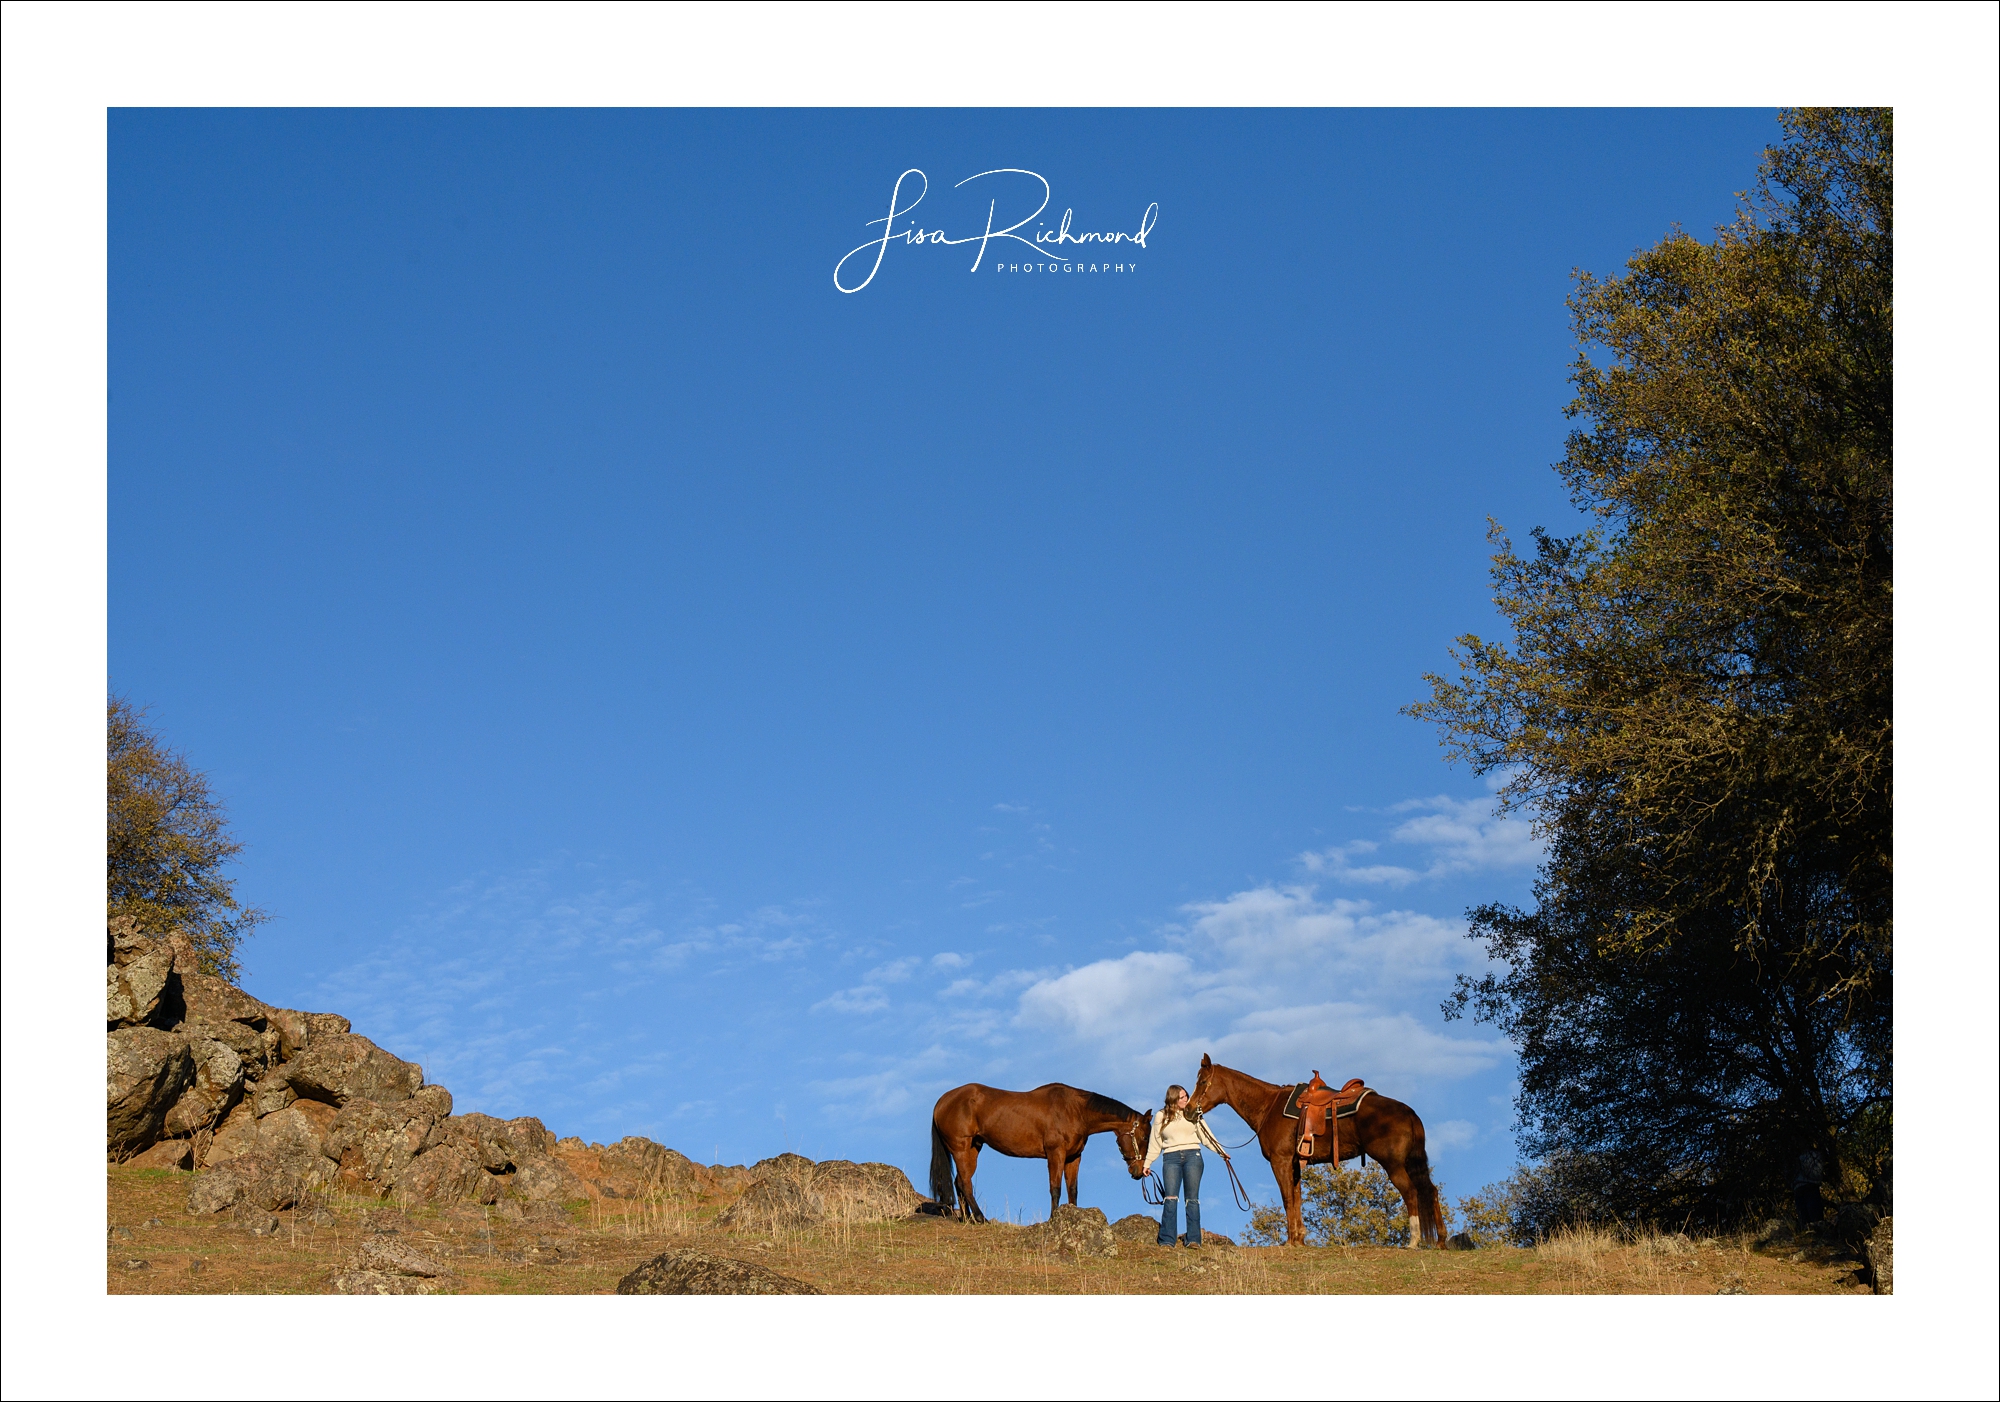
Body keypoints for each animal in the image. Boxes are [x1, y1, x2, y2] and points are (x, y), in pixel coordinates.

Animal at [929, 1082, 1152, 1223]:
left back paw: (968, 1218)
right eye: (1144, 1137)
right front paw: (1053, 1218)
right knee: (965, 1183)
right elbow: (1056, 1189)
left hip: (973, 1149)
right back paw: (980, 1217)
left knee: (960, 1181)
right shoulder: (1055, 1154)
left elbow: (1072, 1190)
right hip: (961, 1148)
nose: (1139, 1171)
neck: (1075, 1111)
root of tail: (942, 1101)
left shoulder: (1073, 1157)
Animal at [1191, 1053, 1446, 1248]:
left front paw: (1290, 1241)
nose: (1189, 1110)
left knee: (1411, 1192)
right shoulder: (1295, 1164)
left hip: (1393, 1164)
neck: (1269, 1106)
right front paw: (1299, 1239)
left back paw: (1413, 1242)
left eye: (1202, 1083)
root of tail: (1409, 1113)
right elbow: (1297, 1199)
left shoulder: (1280, 1161)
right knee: (1430, 1192)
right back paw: (1441, 1240)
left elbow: (1287, 1199)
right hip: (1411, 1163)